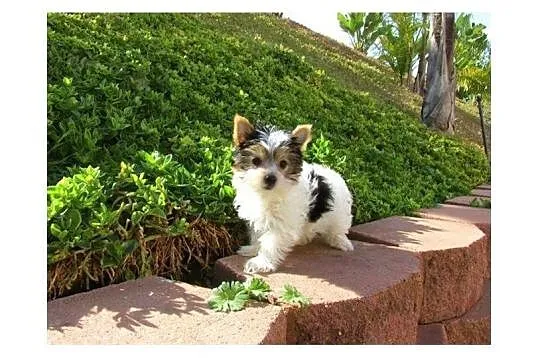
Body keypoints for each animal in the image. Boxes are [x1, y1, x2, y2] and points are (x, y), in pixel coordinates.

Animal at [231, 114, 354, 274]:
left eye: (283, 164)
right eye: (255, 161)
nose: (270, 178)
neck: (269, 195)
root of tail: (334, 173)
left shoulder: (282, 221)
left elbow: (271, 242)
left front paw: (261, 262)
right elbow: (259, 234)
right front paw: (253, 248)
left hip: (339, 212)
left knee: (338, 227)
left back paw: (340, 241)